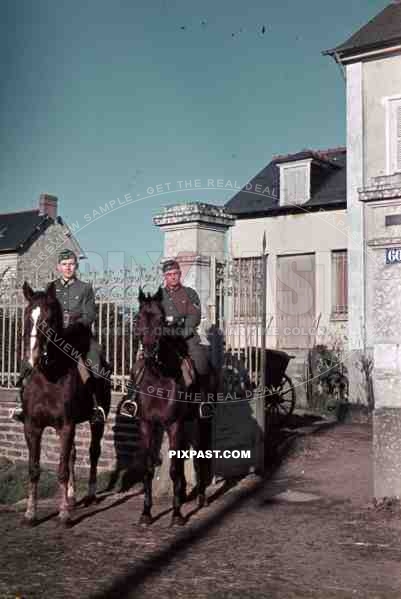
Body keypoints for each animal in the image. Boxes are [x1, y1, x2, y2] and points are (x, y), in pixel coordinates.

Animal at [20, 282, 109, 524]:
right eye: (27, 315)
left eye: (49, 319)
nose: (34, 358)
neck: (48, 376)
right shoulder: (32, 427)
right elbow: (34, 469)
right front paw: (30, 513)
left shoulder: (66, 426)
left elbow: (61, 470)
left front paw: (64, 514)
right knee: (72, 456)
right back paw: (71, 496)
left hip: (96, 422)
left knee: (93, 452)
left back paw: (90, 495)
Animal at [133, 286, 217, 524]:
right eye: (138, 318)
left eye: (161, 319)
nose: (149, 351)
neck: (159, 376)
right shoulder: (147, 424)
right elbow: (148, 468)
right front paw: (146, 513)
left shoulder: (174, 424)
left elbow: (174, 469)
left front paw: (177, 513)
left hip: (202, 421)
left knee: (200, 456)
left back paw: (201, 498)